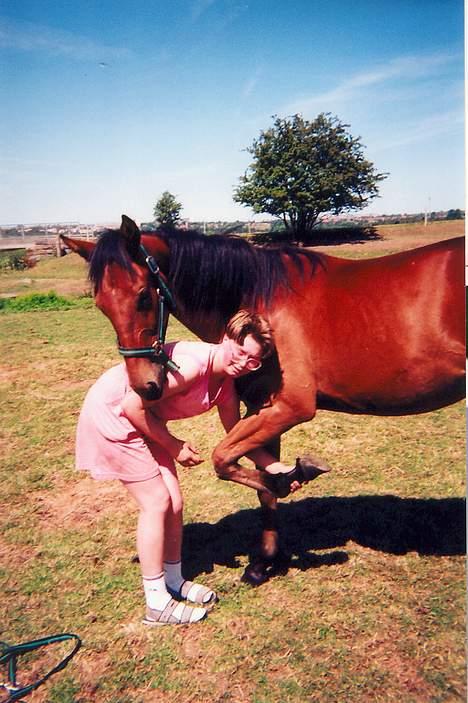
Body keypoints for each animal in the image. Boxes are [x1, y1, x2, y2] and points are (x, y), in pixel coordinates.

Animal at [61, 217, 464, 584]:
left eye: (144, 295)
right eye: (101, 305)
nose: (145, 386)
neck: (261, 302)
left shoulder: (288, 408)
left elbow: (226, 460)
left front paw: (287, 485)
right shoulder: (263, 408)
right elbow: (260, 482)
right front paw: (265, 558)